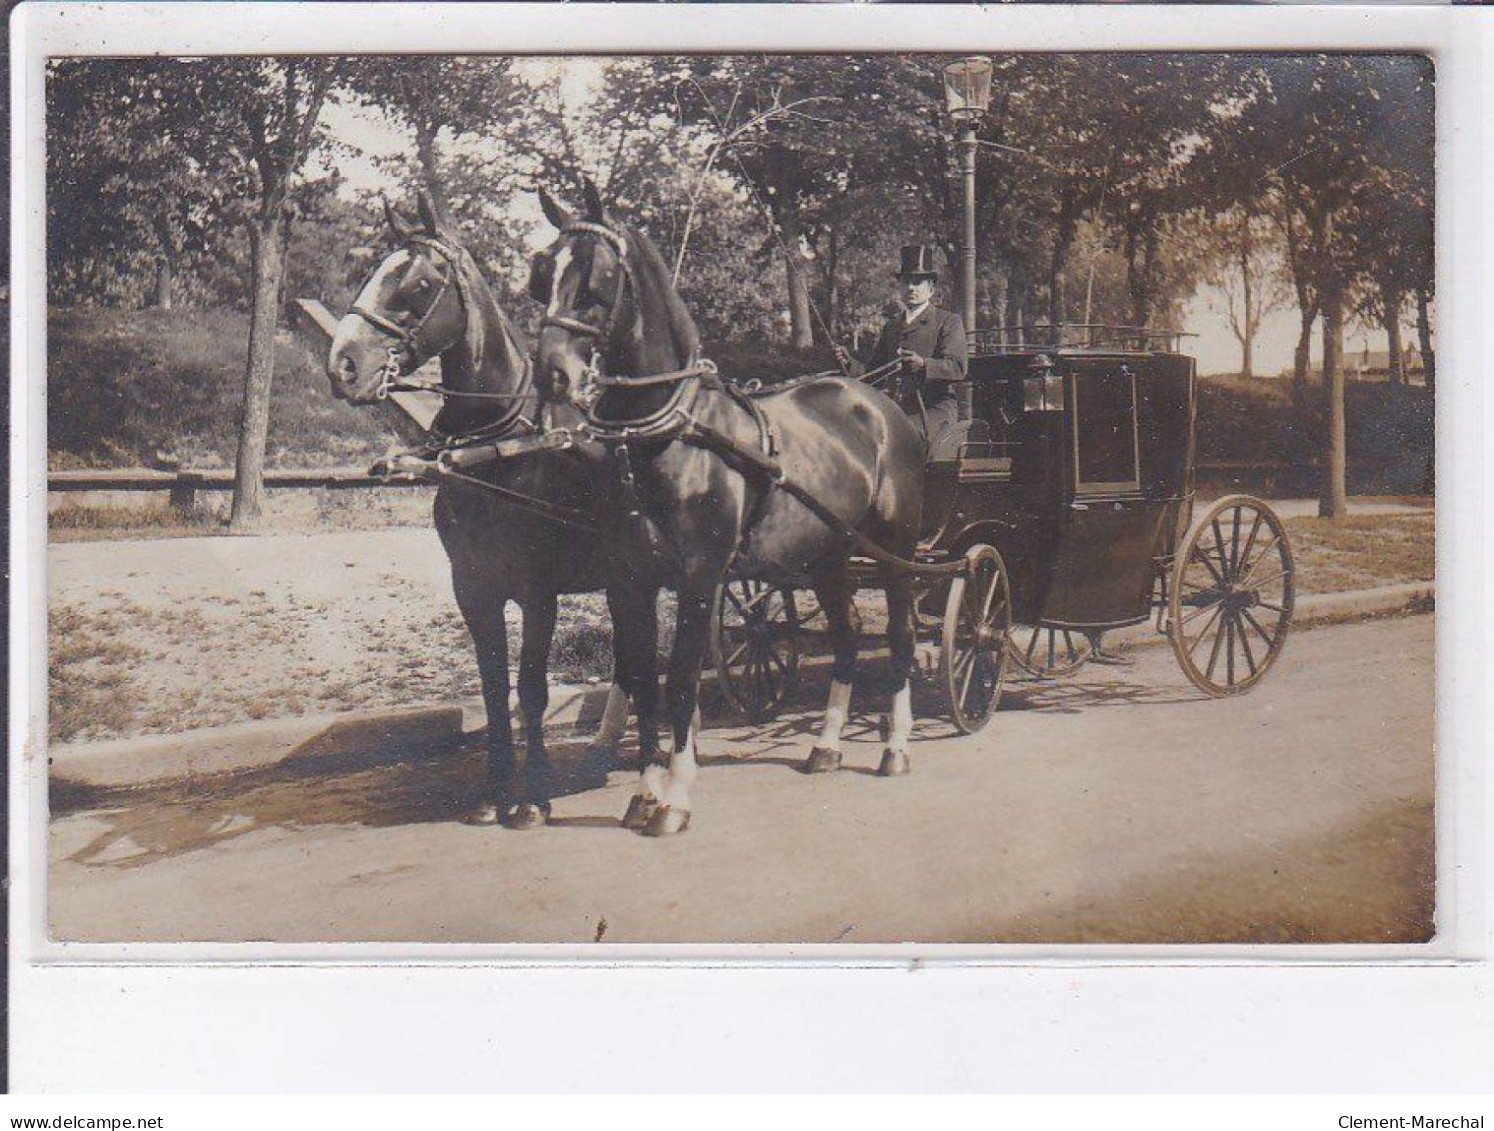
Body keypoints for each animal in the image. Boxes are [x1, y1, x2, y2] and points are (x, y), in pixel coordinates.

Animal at [327, 189, 630, 830]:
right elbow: (493, 690)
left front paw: (533, 797)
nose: (342, 364)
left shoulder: (538, 591)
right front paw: (494, 793)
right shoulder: (473, 587)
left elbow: (532, 690)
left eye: (418, 283)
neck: (496, 446)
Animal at [525, 180, 920, 836]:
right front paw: (644, 793)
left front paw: (675, 799)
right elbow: (643, 680)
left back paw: (896, 746)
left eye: (596, 281)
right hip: (828, 556)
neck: (667, 437)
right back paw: (827, 745)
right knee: (846, 637)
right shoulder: (627, 582)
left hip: (894, 553)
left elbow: (682, 683)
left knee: (899, 636)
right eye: (540, 274)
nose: (553, 374)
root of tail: (877, 401)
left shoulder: (700, 579)